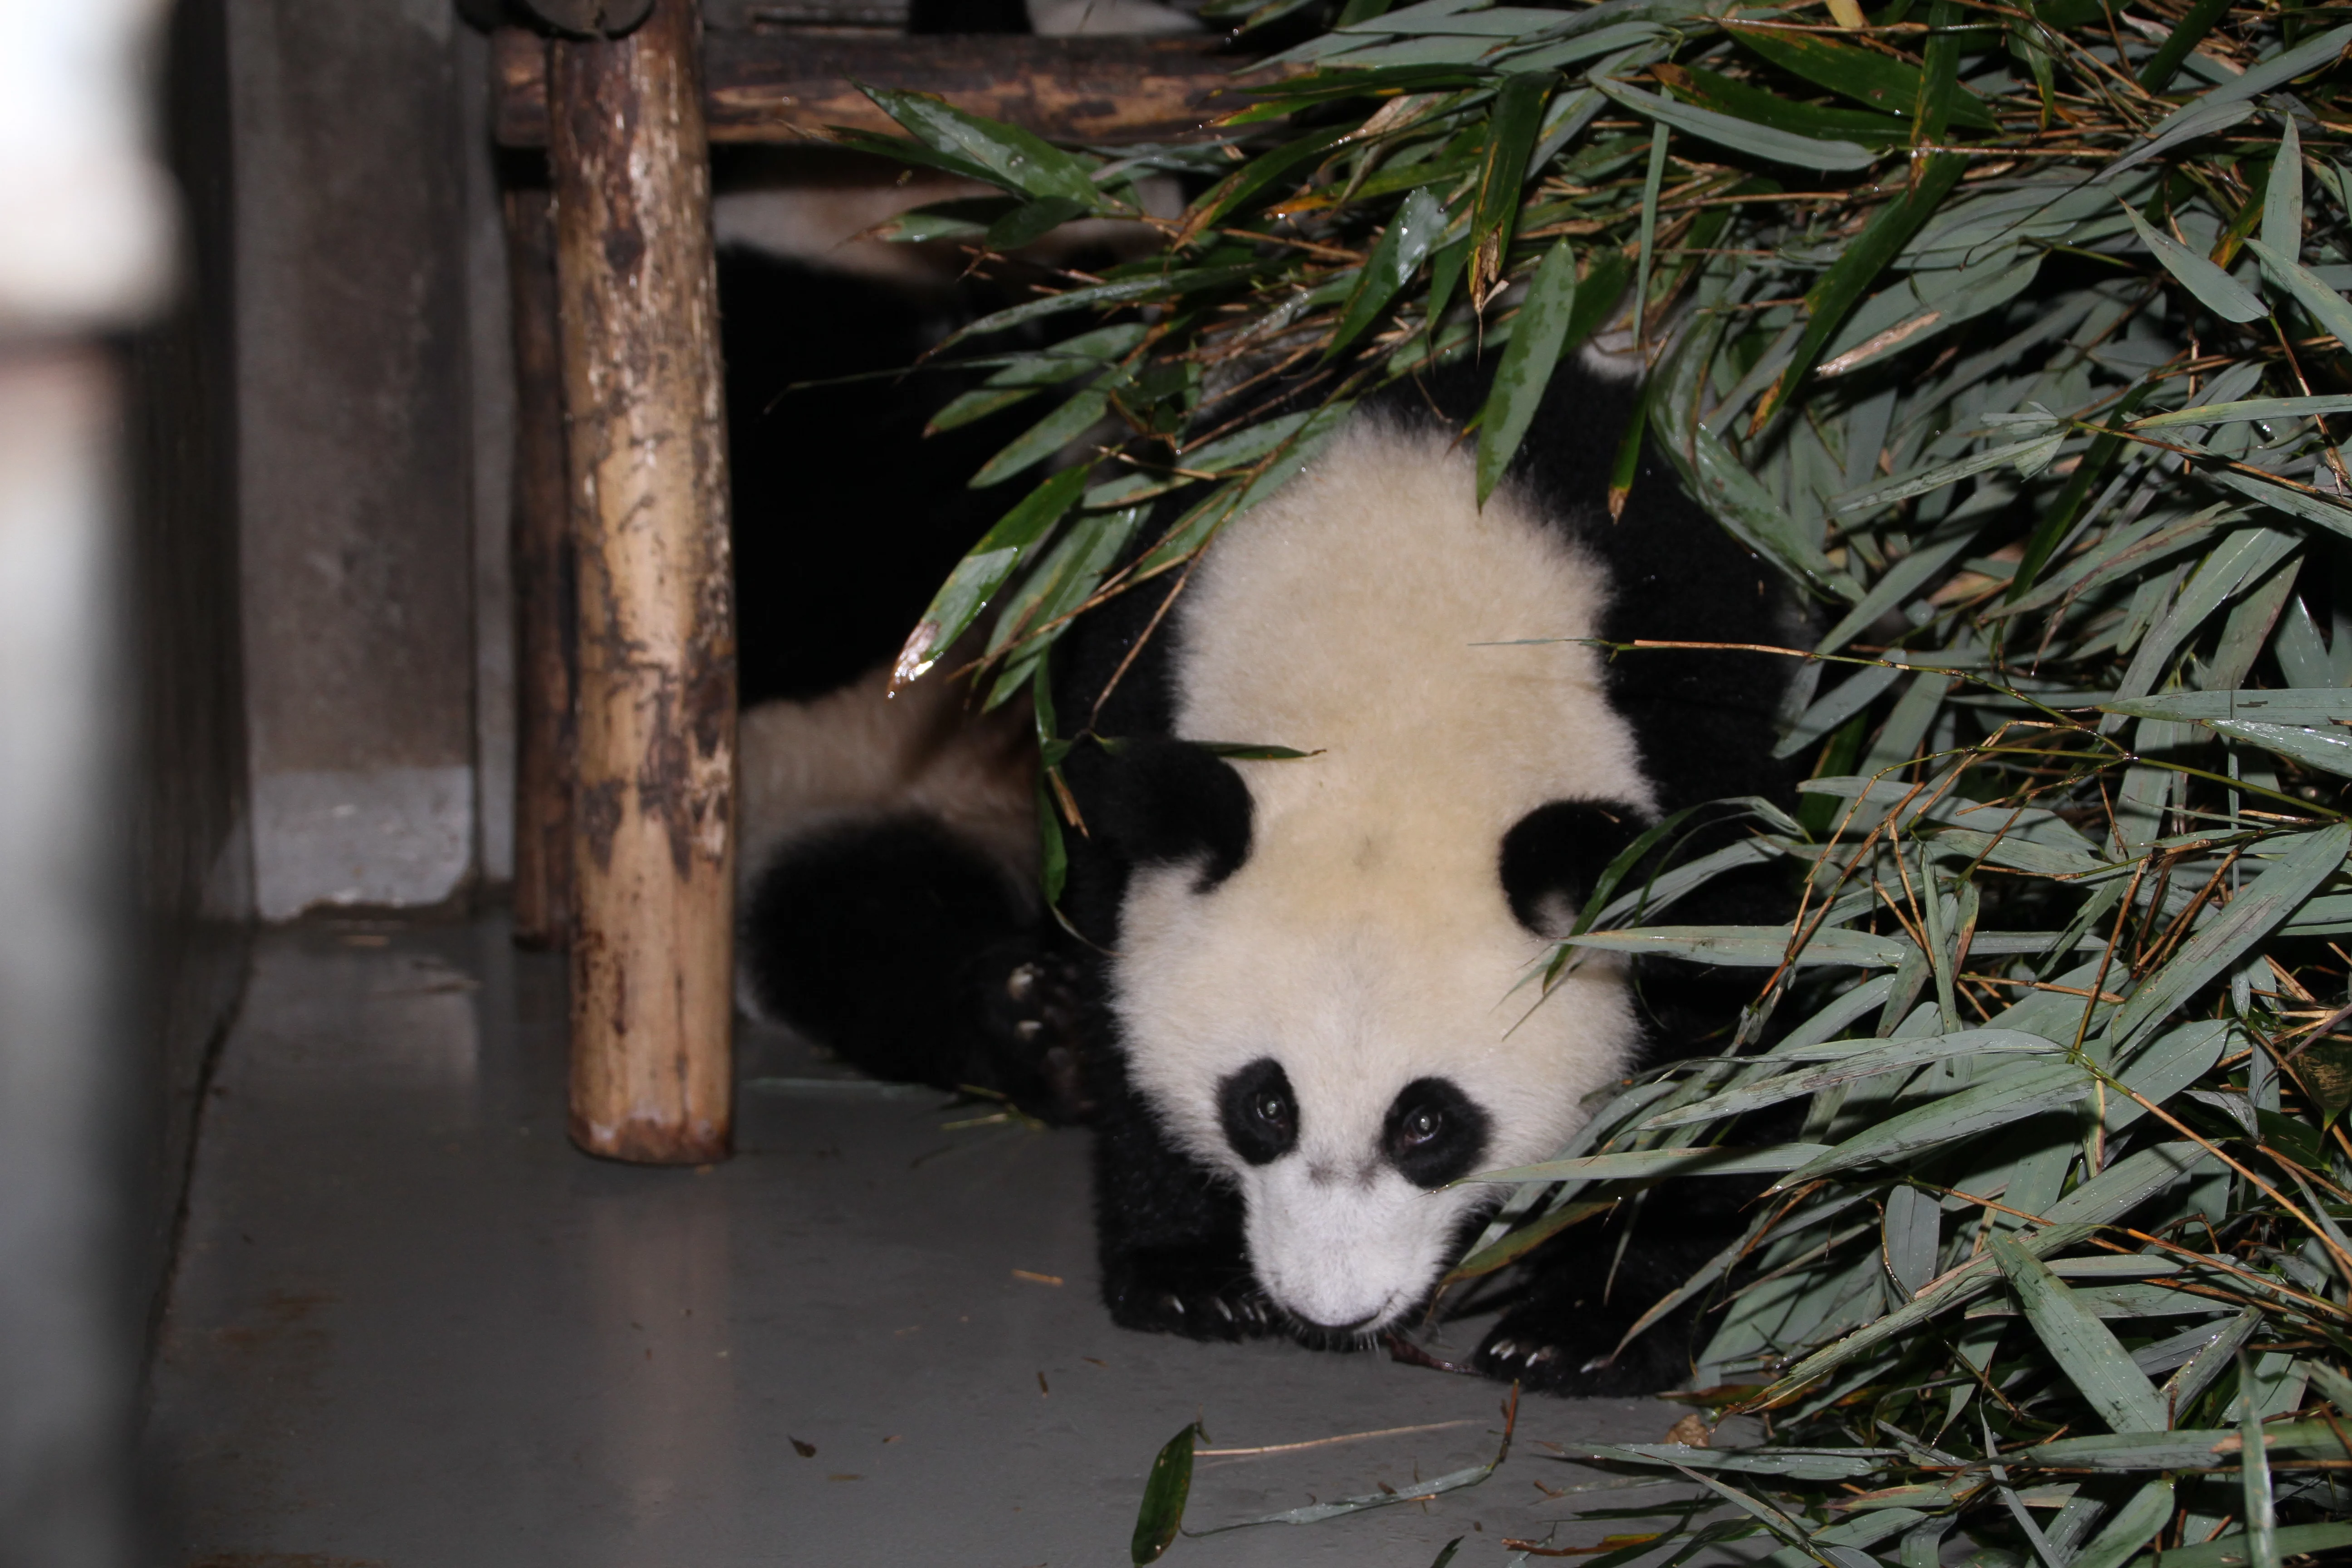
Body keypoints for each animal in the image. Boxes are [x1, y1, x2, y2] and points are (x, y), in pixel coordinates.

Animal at [738, 351, 1797, 1394]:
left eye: (1427, 1124)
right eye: (1265, 1104)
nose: (1331, 1309)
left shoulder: (1682, 706)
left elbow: (1723, 1008)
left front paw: (1587, 1324)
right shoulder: (1137, 676)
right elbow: (1118, 975)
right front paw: (1187, 1275)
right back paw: (1031, 1022)